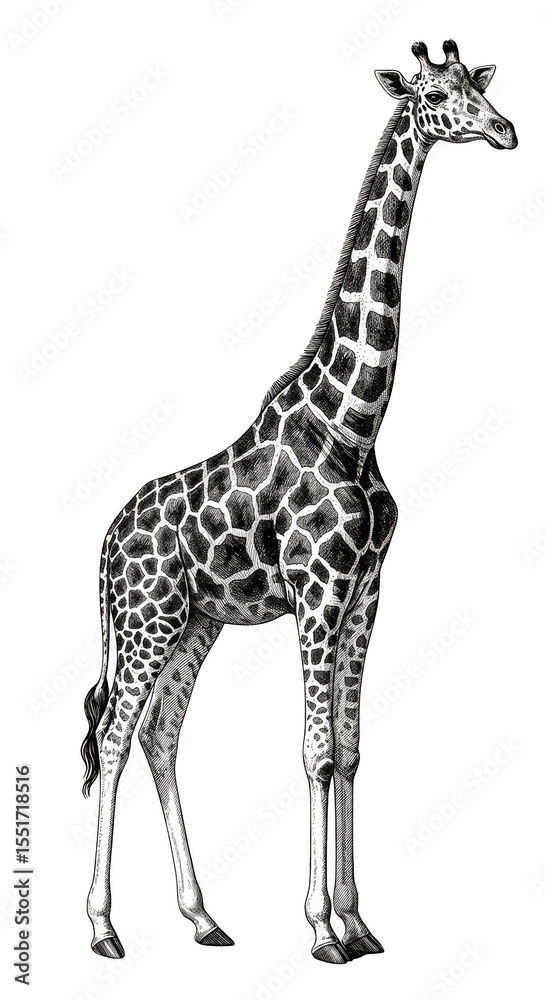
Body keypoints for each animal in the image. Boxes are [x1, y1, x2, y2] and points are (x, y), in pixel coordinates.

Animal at [81, 40, 517, 965]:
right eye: (434, 94)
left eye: (475, 85)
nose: (503, 130)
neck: (352, 419)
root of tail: (104, 544)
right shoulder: (317, 592)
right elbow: (315, 751)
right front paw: (322, 931)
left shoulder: (365, 593)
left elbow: (349, 751)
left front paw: (359, 923)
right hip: (144, 621)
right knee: (112, 738)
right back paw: (102, 929)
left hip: (194, 623)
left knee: (159, 738)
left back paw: (204, 920)